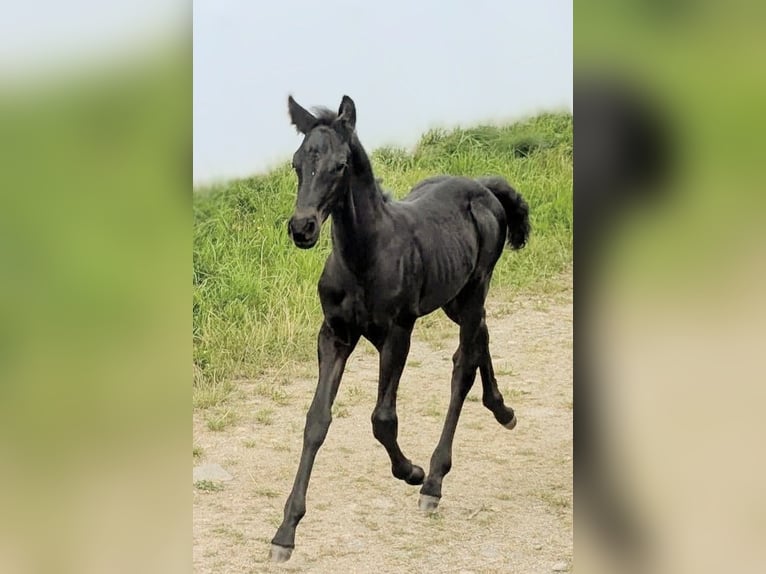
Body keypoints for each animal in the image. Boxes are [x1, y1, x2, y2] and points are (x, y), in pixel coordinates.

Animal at [269, 95, 530, 562]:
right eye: (297, 163)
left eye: (340, 165)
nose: (302, 228)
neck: (365, 255)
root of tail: (484, 186)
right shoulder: (334, 334)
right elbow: (317, 419)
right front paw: (285, 532)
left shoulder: (397, 333)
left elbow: (382, 419)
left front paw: (412, 471)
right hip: (453, 297)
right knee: (481, 335)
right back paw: (502, 410)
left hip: (476, 286)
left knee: (462, 365)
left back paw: (435, 481)